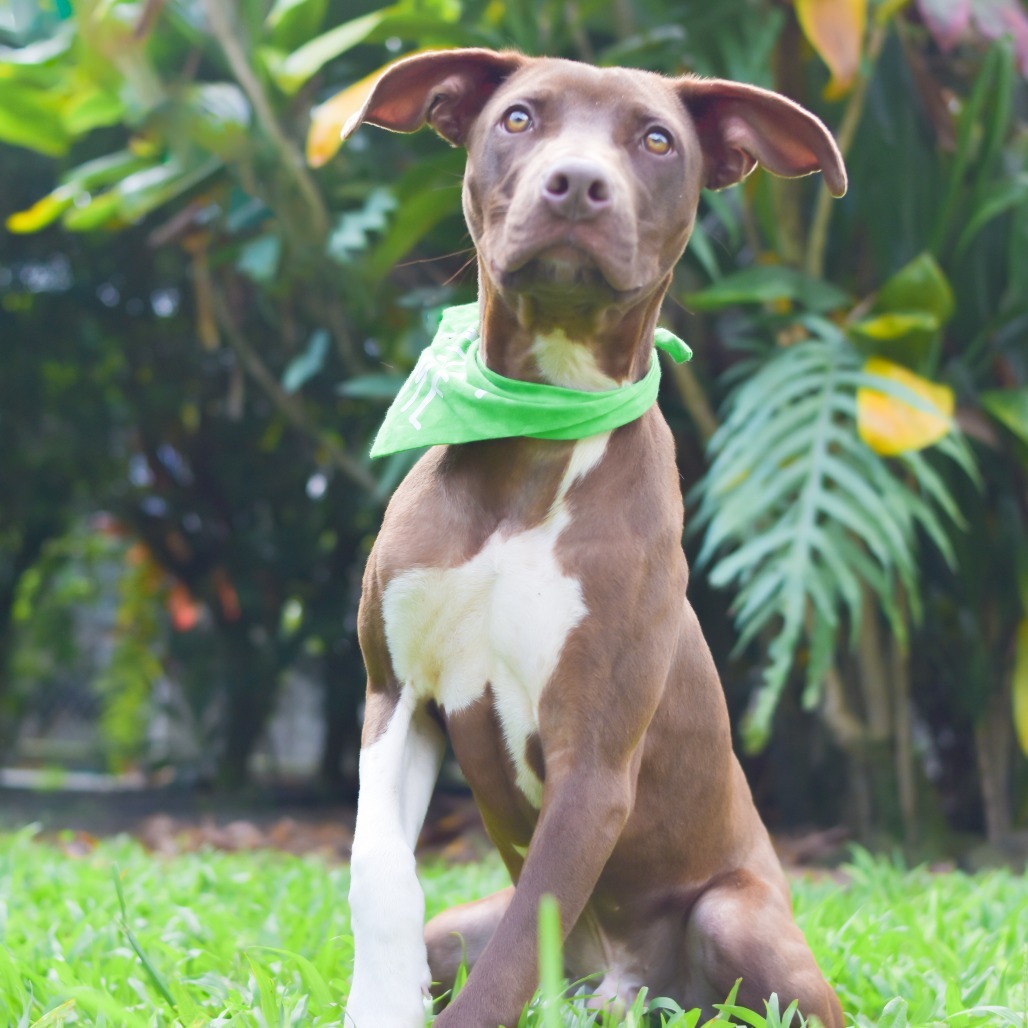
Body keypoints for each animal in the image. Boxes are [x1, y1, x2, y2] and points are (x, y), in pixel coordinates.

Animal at [341, 44, 847, 1023]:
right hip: (464, 926)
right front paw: (380, 1002)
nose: (577, 184)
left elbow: (509, 959)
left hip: (738, 917)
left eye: (655, 140)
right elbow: (378, 871)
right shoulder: (396, 694)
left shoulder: (594, 765)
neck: (536, 436)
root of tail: (626, 987)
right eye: (519, 118)